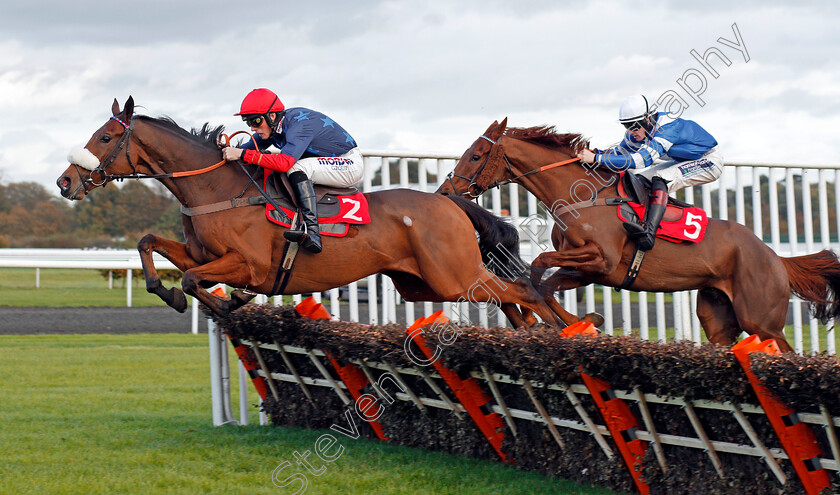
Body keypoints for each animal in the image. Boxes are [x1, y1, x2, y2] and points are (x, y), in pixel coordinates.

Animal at [54, 98, 564, 330]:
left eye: (104, 137)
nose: (64, 182)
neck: (217, 189)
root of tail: (447, 200)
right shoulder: (201, 253)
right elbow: (152, 248)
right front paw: (170, 293)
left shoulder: (249, 264)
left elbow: (197, 281)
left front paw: (229, 304)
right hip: (424, 283)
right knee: (510, 300)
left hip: (452, 275)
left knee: (524, 291)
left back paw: (559, 332)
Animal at [436, 119, 840, 352]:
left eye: (476, 155)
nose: (445, 191)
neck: (583, 197)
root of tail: (776, 257)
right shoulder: (588, 270)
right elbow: (546, 285)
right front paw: (581, 321)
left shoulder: (601, 259)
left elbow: (538, 265)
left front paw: (551, 320)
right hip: (719, 318)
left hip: (762, 320)